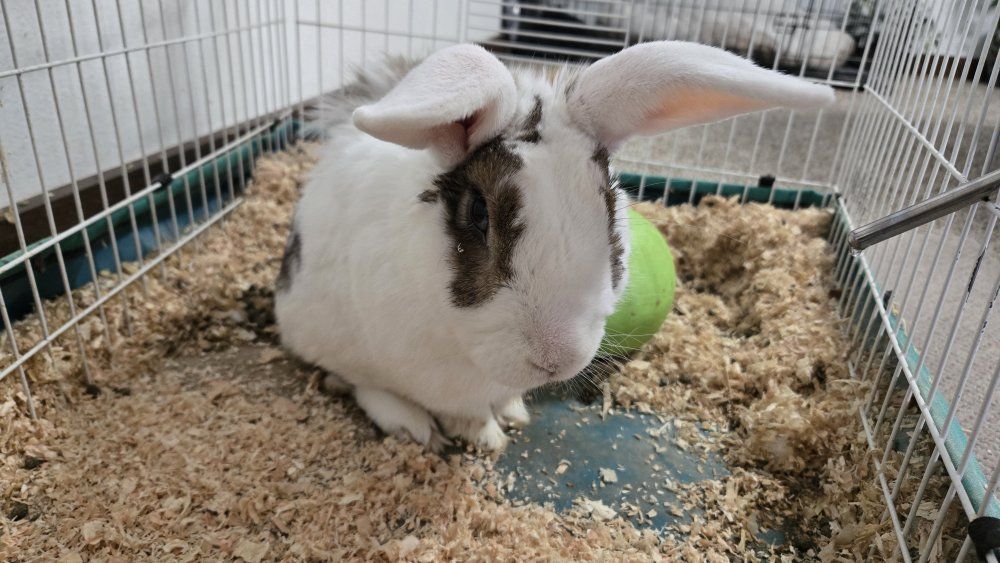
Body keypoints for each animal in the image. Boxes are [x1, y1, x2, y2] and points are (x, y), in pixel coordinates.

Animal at [274, 41, 835, 452]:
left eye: (609, 200)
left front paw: (510, 416)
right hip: (320, 328)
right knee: (351, 378)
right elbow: (459, 413)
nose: (556, 357)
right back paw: (412, 425)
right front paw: (486, 439)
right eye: (478, 213)